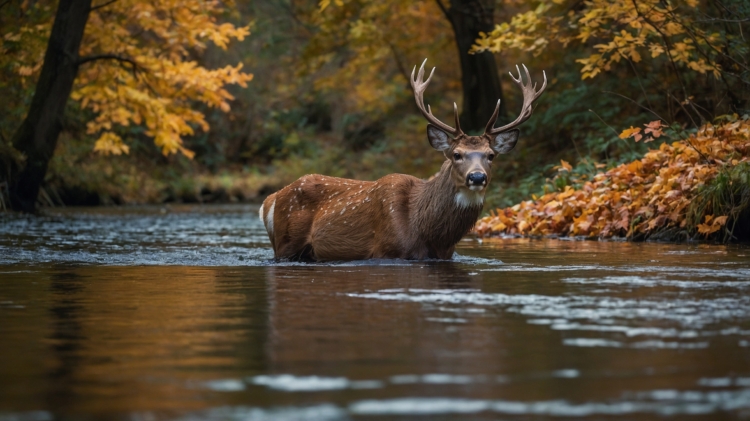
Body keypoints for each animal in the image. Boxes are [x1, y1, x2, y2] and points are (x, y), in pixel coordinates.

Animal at [259, 59, 546, 261]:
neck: (427, 231)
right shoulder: (386, 249)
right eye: (456, 154)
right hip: (285, 243)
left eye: (490, 155)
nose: (477, 177)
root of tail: (270, 199)